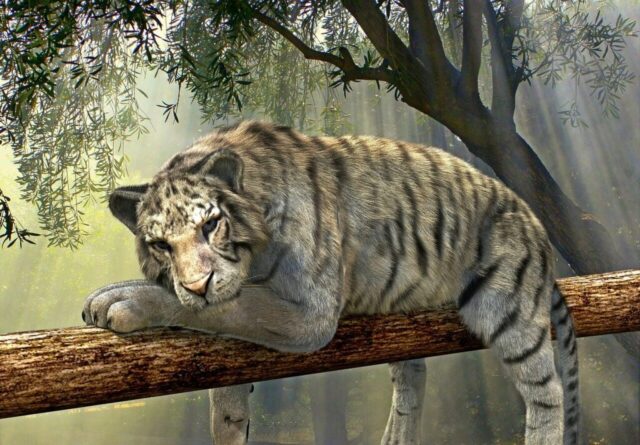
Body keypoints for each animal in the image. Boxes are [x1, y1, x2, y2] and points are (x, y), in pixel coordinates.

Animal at [82, 120, 579, 445]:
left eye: (210, 225)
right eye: (160, 245)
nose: (198, 284)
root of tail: (534, 221)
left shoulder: (309, 315)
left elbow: (230, 308)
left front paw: (121, 300)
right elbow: (226, 383)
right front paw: (230, 424)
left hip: (509, 312)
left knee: (547, 394)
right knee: (412, 376)